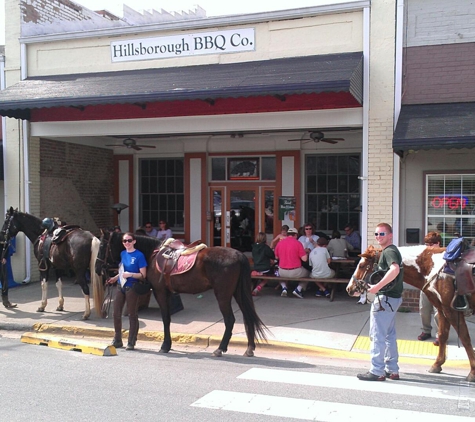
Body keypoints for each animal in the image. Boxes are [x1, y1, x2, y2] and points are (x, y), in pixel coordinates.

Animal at [96, 231, 268, 356]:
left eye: (103, 245)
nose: (98, 268)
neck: (152, 254)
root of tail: (239, 255)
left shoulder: (160, 291)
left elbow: (165, 318)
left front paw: (165, 345)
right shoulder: (167, 293)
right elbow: (167, 318)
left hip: (223, 295)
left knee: (230, 319)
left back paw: (220, 348)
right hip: (238, 293)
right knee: (247, 316)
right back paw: (249, 348)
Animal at [346, 244, 475, 382]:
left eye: (361, 265)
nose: (349, 288)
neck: (431, 267)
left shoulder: (452, 311)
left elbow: (465, 337)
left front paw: (472, 372)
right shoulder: (442, 309)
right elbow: (442, 335)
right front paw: (437, 364)